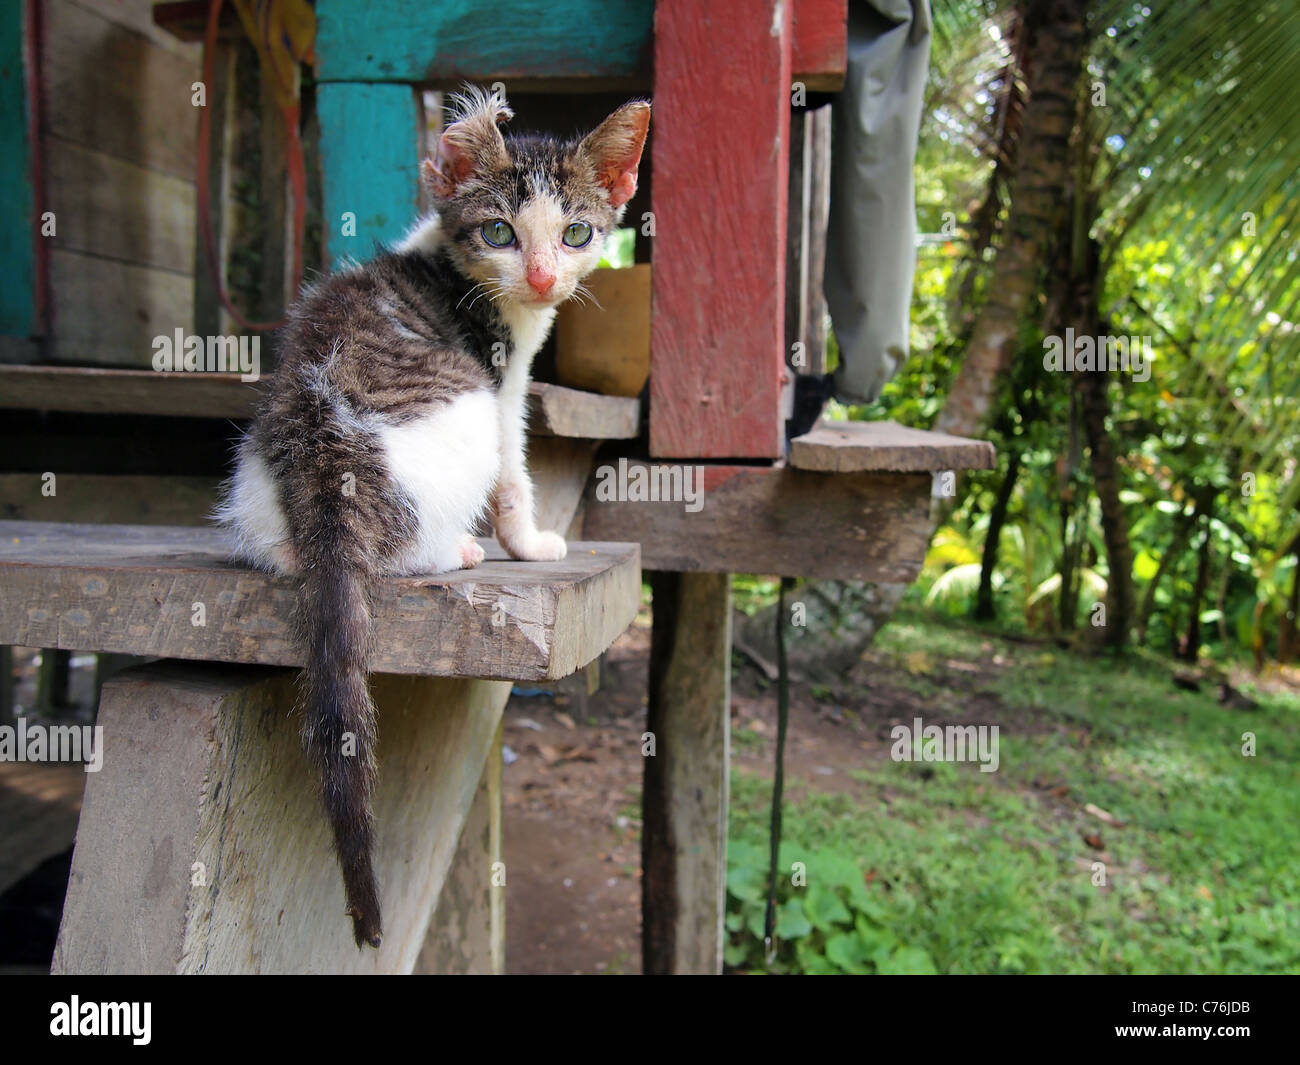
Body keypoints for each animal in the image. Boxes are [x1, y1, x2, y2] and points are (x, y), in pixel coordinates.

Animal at [220, 87, 660, 946]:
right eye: (499, 232)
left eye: (576, 232)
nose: (542, 277)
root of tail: (325, 446)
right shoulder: (503, 387)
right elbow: (517, 468)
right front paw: (530, 542)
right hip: (460, 412)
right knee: (400, 545)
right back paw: (457, 551)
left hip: (255, 467)